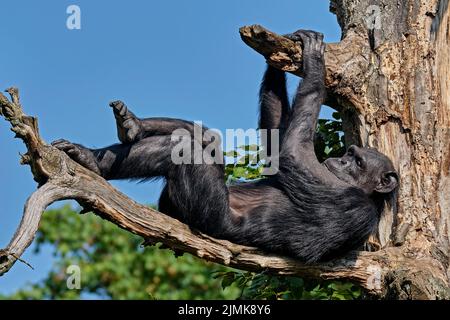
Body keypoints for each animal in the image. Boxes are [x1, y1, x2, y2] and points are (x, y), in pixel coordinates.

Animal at [52, 30, 398, 262]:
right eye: (350, 154)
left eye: (358, 162)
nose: (341, 161)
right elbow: (277, 146)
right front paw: (278, 55)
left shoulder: (344, 198)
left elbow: (293, 152)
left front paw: (315, 61)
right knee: (204, 137)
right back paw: (118, 135)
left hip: (201, 211)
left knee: (188, 150)